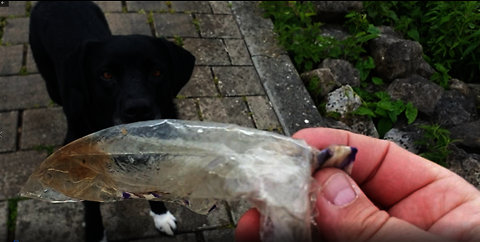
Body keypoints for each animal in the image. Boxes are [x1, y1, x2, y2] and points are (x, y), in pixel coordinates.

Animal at [29, 1, 194, 240]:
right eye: (106, 75)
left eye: (157, 72)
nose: (138, 110)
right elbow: (90, 206)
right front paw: (96, 234)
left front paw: (161, 215)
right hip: (51, 83)